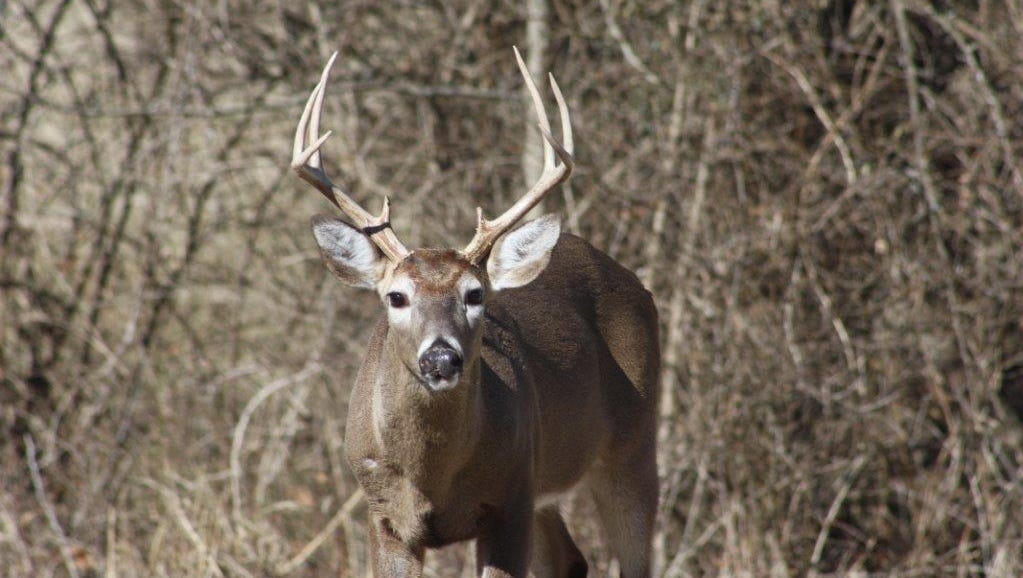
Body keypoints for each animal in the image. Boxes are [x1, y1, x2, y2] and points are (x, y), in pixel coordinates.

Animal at [291, 49, 660, 578]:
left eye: (475, 294)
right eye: (396, 297)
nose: (441, 358)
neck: (433, 481)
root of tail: (633, 281)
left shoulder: (510, 498)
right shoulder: (382, 513)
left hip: (631, 446)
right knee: (569, 559)